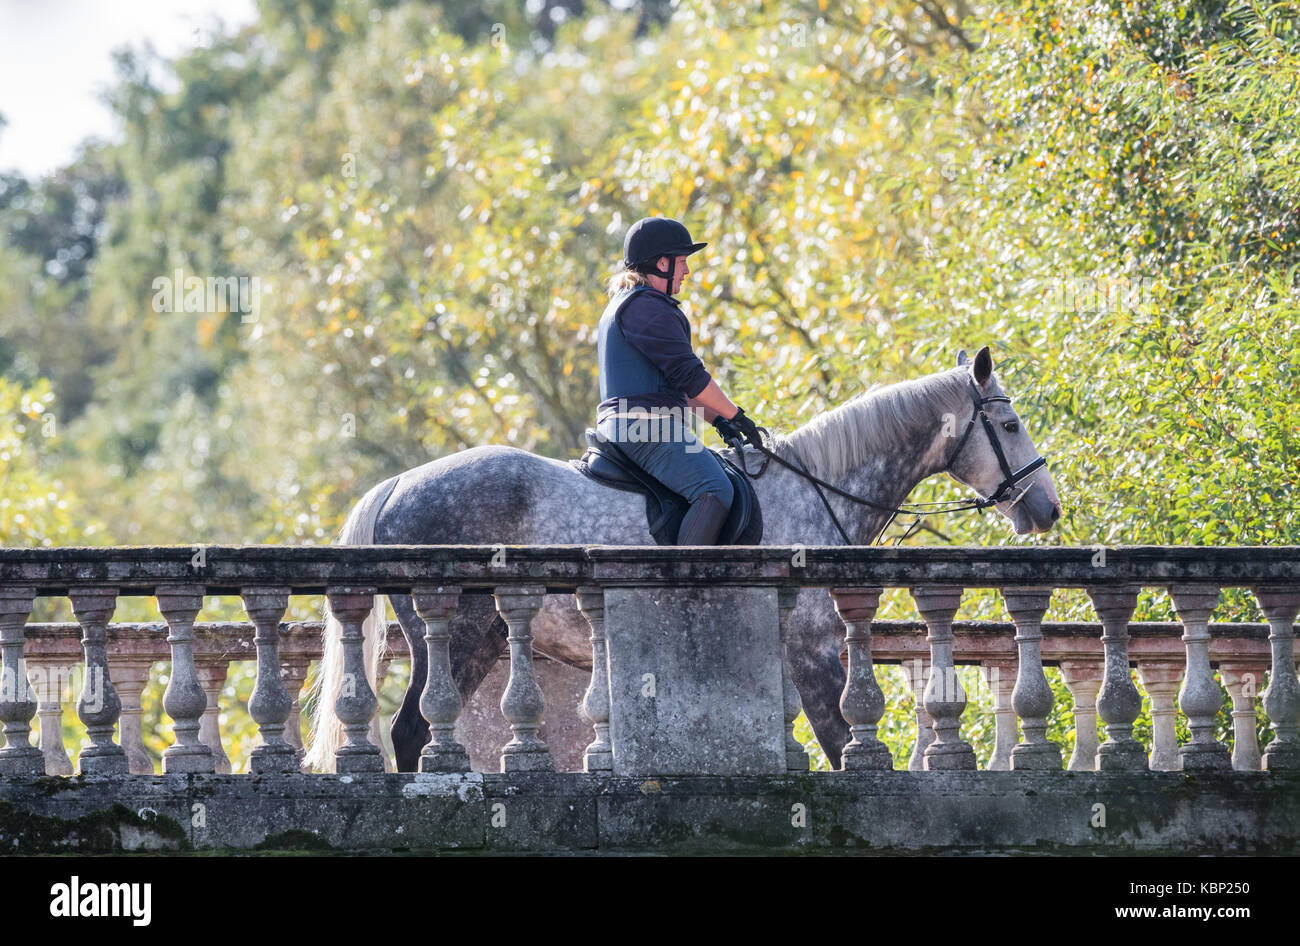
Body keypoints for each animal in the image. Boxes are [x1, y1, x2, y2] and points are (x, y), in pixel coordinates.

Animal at [304, 346, 1062, 773]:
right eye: (1010, 424)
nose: (1047, 509)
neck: (814, 489)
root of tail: (396, 486)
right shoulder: (812, 653)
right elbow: (845, 744)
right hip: (459, 631)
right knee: (412, 730)